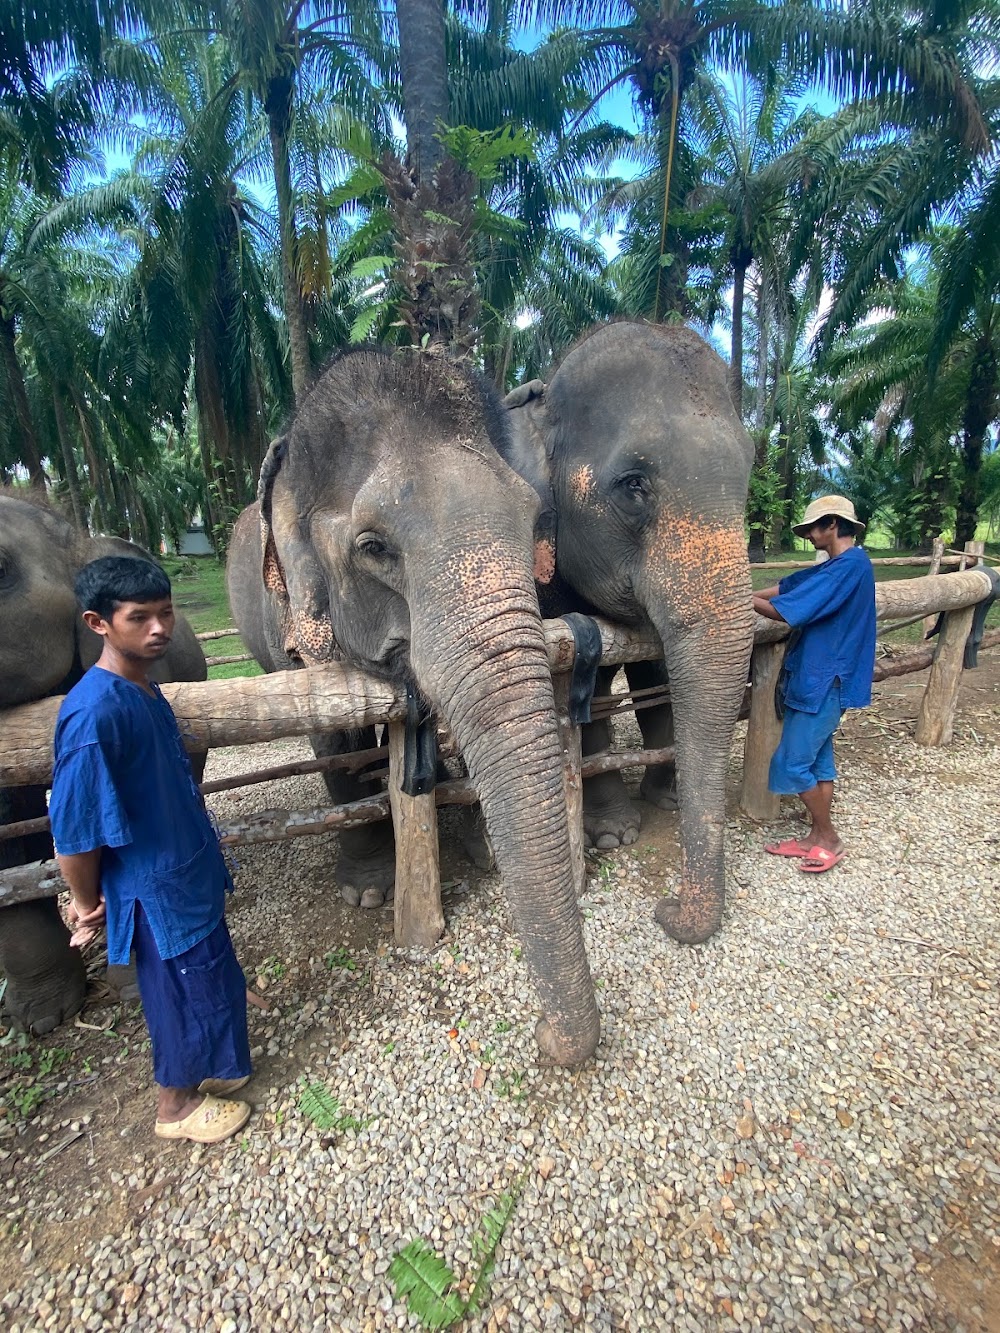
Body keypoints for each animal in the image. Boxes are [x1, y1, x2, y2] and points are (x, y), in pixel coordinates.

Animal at [226, 349, 602, 1066]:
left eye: (532, 521)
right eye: (374, 547)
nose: (548, 1037)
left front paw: (482, 850)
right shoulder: (293, 630)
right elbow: (333, 733)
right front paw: (368, 890)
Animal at [504, 322, 757, 949]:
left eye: (747, 476)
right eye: (633, 484)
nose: (666, 910)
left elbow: (657, 675)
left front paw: (669, 796)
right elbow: (588, 694)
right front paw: (616, 834)